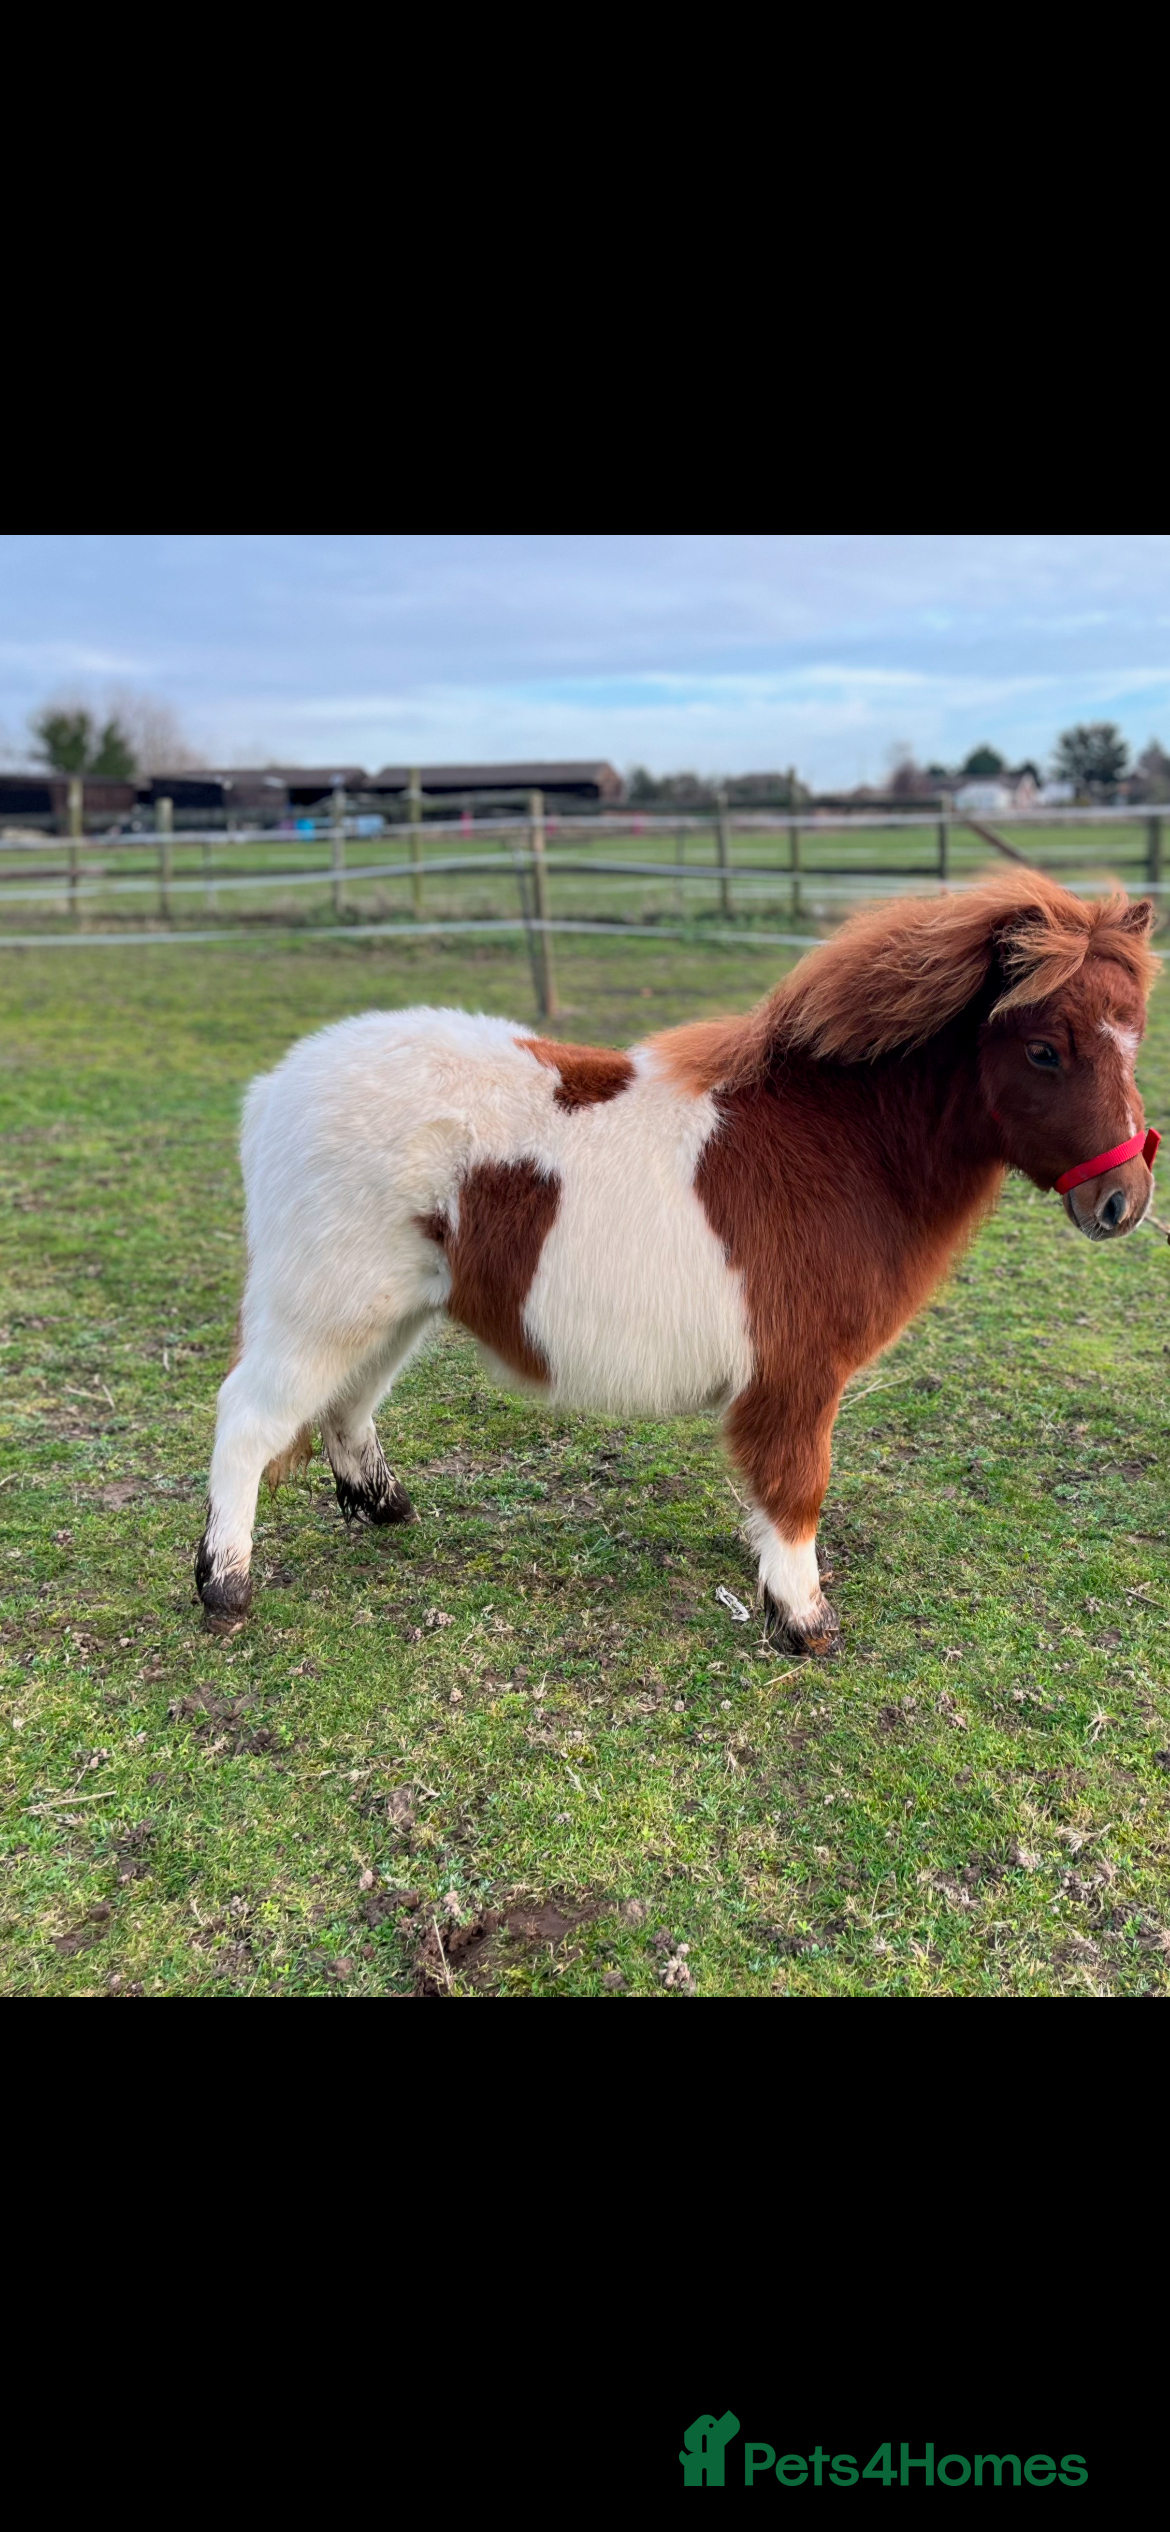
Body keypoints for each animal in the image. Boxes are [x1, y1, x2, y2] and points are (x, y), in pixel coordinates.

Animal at [195, 872, 1160, 1648]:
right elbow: (797, 1489)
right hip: (325, 1303)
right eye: (1044, 1050)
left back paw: (381, 1506)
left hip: (395, 1305)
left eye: (1137, 1036)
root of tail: (275, 1088)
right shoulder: (798, 1375)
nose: (1125, 1202)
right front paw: (802, 1621)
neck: (842, 1146)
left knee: (345, 1404)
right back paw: (225, 1585)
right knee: (251, 1416)